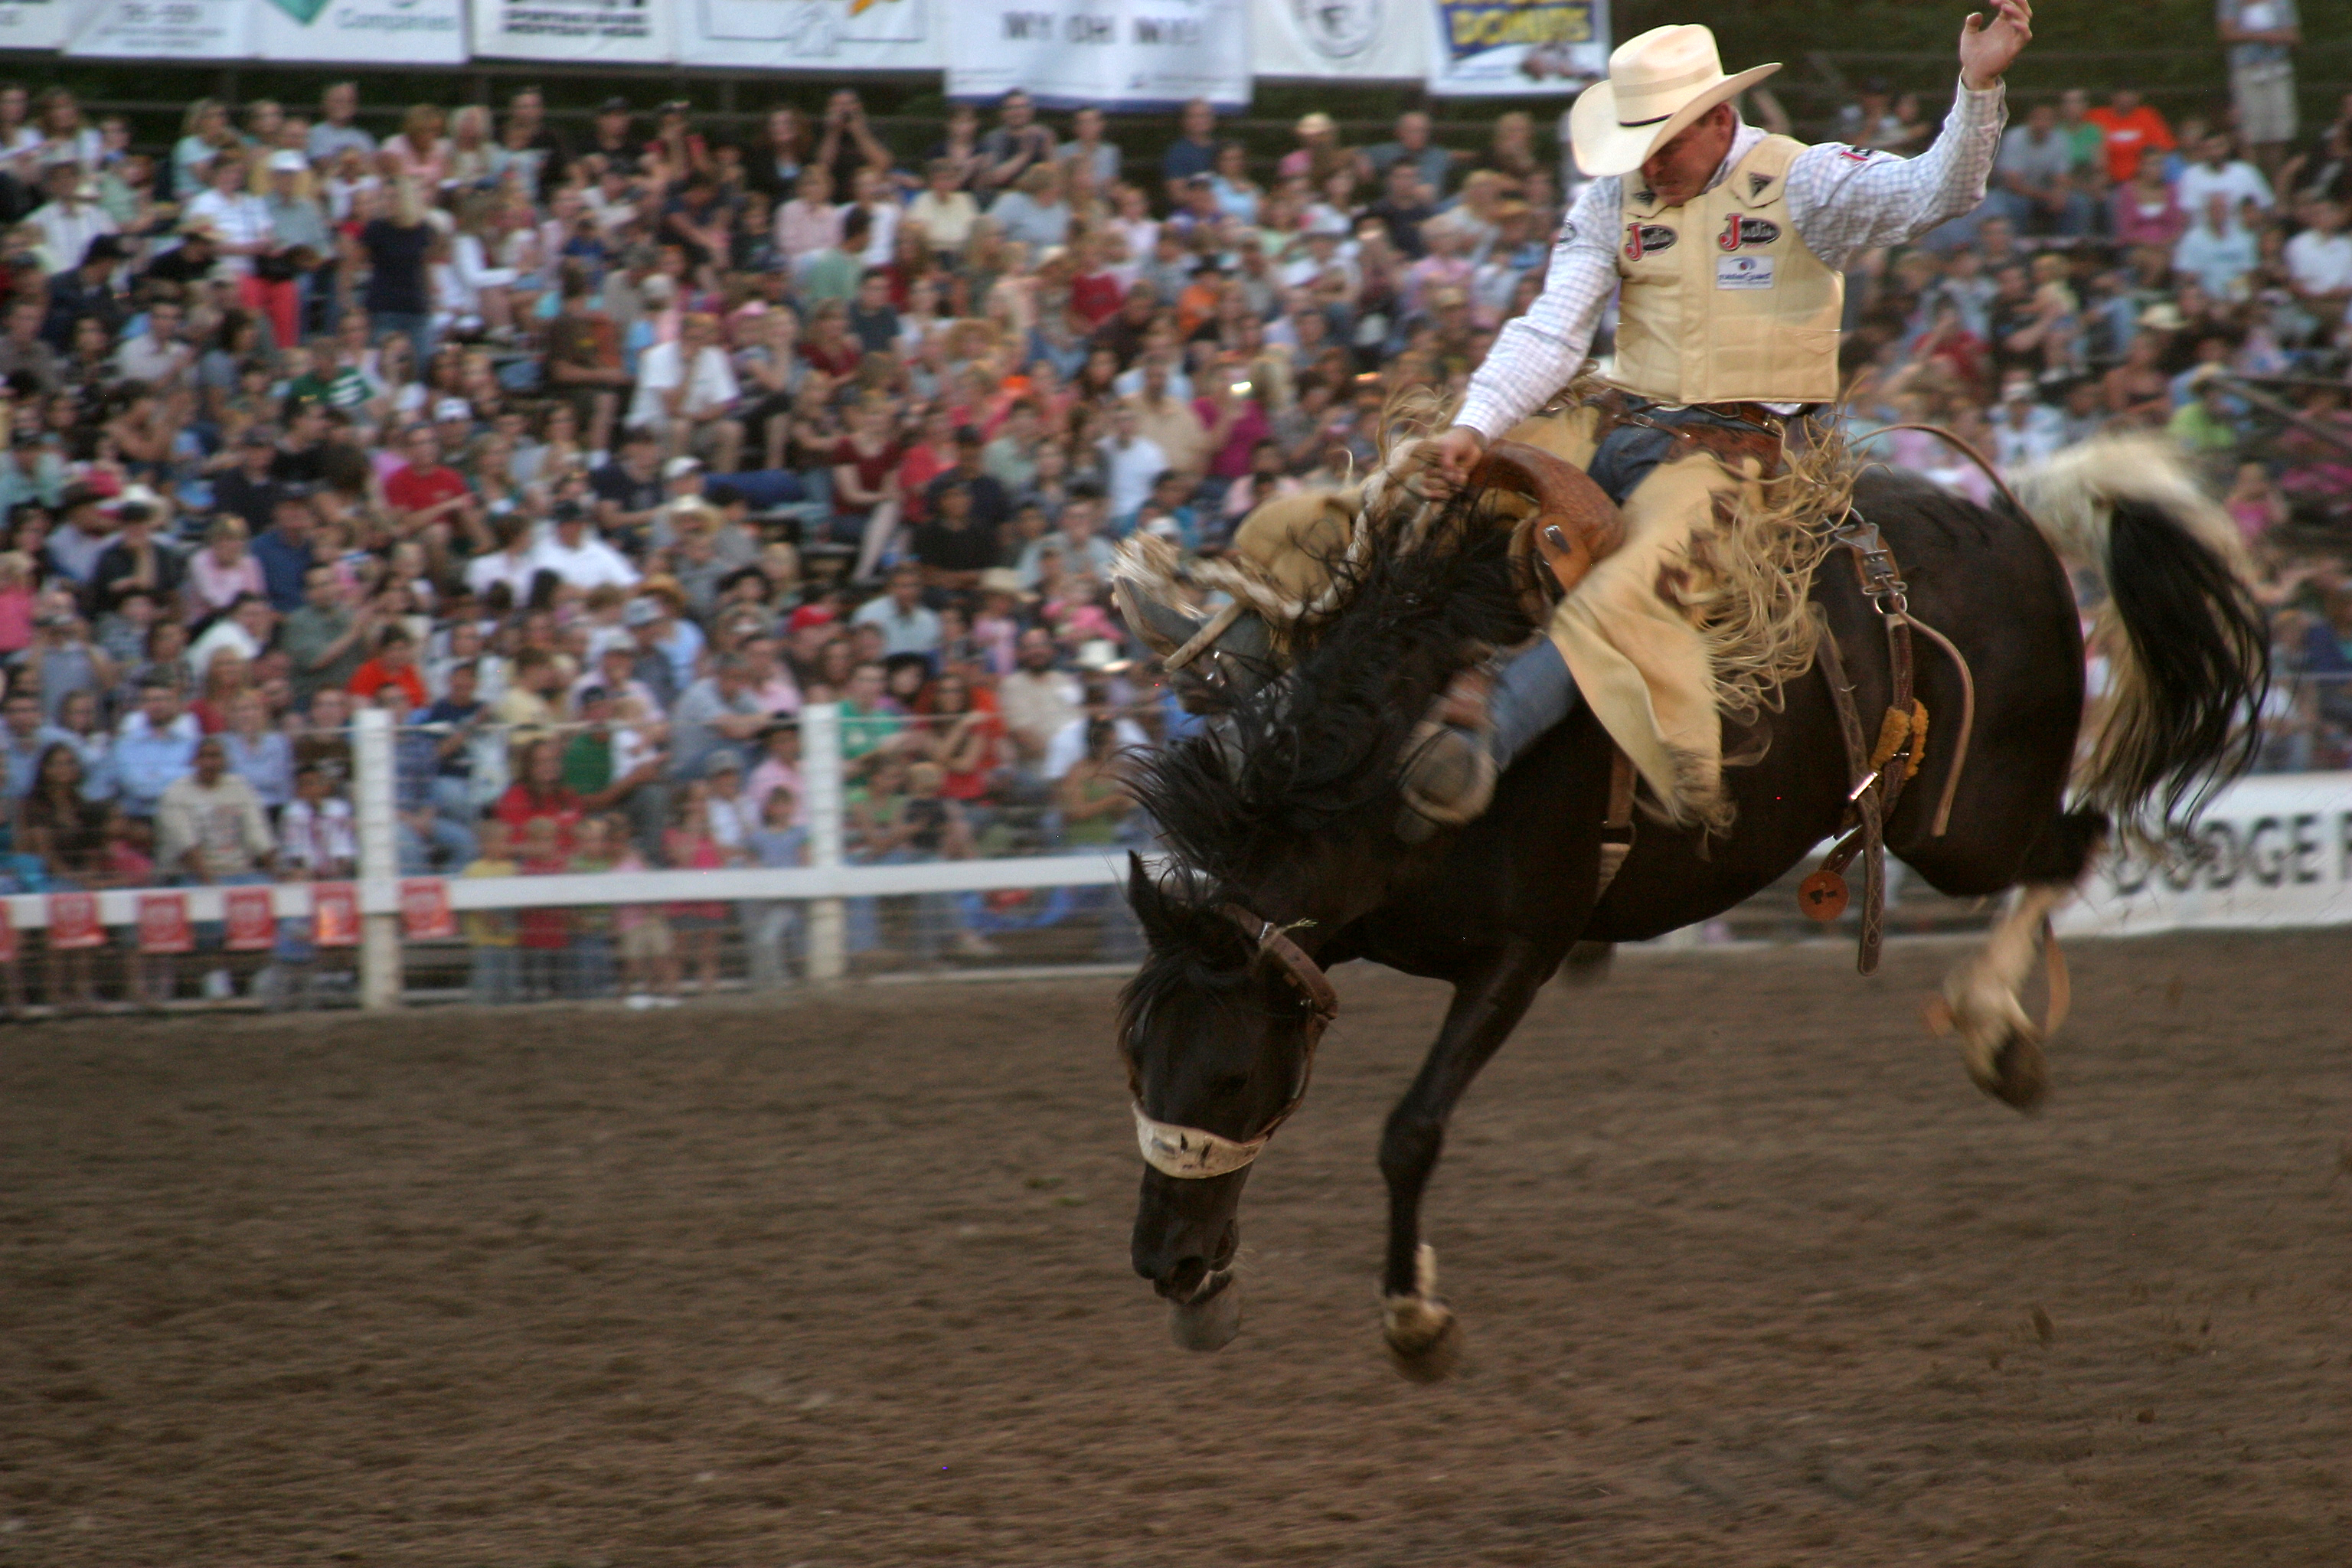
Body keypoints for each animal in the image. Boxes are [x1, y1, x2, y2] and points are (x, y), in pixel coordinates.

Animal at [1109, 402, 2267, 1373]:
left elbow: (1411, 1131)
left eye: (1229, 1077)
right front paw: (1219, 1290)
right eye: (1137, 1063)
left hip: (1963, 823)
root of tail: (2011, 517)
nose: (1162, 1263)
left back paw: (1997, 1036)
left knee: (2071, 844)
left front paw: (1415, 1320)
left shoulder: (1522, 949)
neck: (1397, 750)